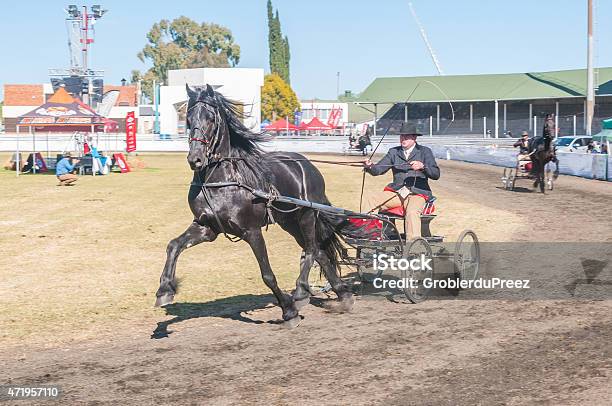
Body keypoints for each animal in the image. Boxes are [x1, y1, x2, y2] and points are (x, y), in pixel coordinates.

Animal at [155, 85, 356, 326]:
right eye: (188, 118)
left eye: (211, 118)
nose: (195, 159)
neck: (222, 181)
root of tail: (307, 165)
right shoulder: (206, 228)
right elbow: (173, 245)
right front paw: (164, 290)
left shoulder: (251, 231)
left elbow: (267, 274)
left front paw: (289, 311)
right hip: (289, 222)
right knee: (320, 253)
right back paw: (343, 295)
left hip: (306, 216)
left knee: (311, 250)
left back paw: (300, 293)